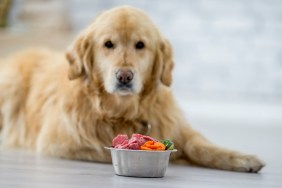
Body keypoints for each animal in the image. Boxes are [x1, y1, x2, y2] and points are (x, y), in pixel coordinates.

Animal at [0, 6, 264, 173]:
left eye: (140, 45)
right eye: (108, 44)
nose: (124, 76)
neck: (123, 111)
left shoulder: (175, 125)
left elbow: (202, 146)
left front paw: (242, 158)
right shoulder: (59, 143)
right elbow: (105, 150)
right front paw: (179, 158)